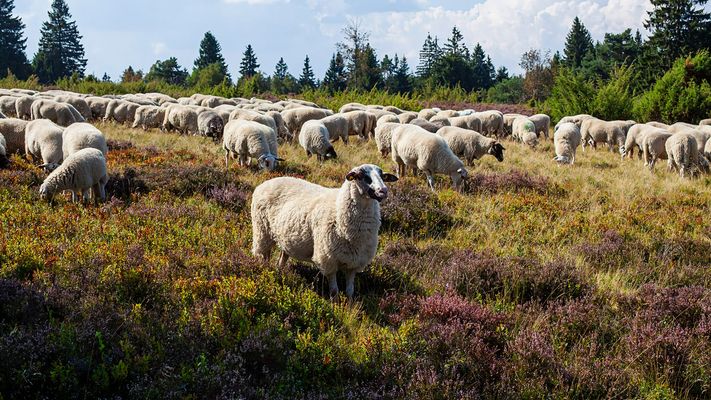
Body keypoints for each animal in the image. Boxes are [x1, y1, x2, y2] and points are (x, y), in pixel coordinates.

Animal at [251, 164, 398, 298]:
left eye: (382, 176)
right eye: (361, 176)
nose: (383, 191)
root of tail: (268, 181)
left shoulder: (354, 262)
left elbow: (350, 291)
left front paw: (349, 306)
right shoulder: (328, 259)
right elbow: (334, 291)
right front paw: (336, 306)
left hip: (285, 237)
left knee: (282, 257)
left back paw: (279, 272)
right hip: (262, 231)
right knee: (264, 256)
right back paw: (267, 272)